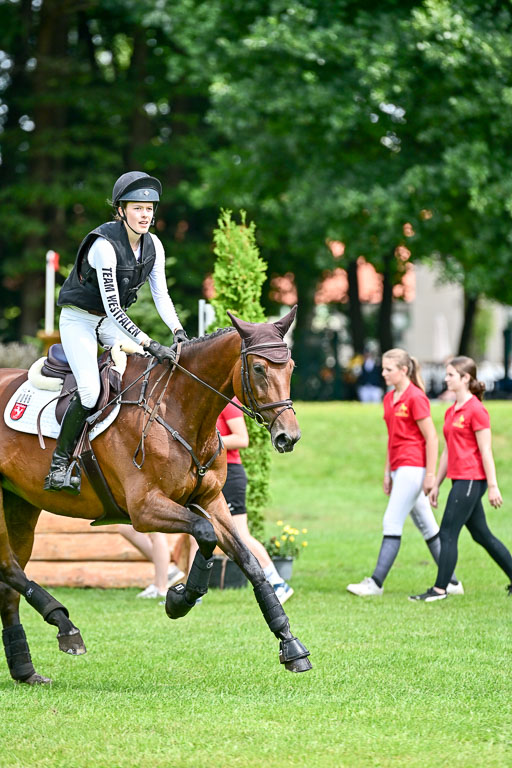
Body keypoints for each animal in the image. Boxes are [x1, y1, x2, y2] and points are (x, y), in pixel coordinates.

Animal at [0, 306, 311, 684]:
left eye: (290, 367)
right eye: (259, 368)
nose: (288, 437)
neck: (179, 410)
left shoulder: (212, 502)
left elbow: (248, 560)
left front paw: (291, 644)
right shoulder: (145, 509)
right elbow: (205, 534)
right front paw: (180, 600)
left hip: (21, 504)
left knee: (8, 582)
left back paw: (26, 669)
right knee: (8, 567)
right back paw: (65, 625)